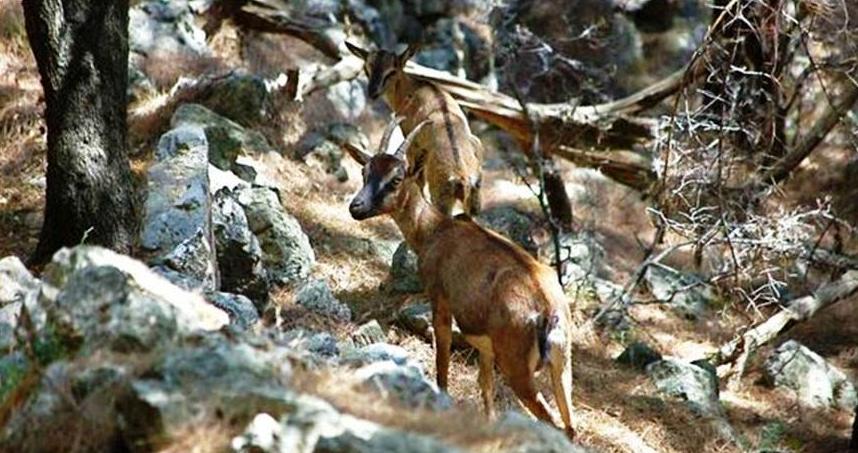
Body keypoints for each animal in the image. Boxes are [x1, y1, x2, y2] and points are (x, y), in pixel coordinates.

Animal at [342, 117, 576, 438]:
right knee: (570, 426)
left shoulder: (440, 301)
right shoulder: (486, 347)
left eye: (396, 179)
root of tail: (549, 312)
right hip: (562, 367)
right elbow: (486, 388)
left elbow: (442, 363)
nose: (356, 207)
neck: (435, 231)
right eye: (365, 172)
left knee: (551, 421)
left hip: (518, 368)